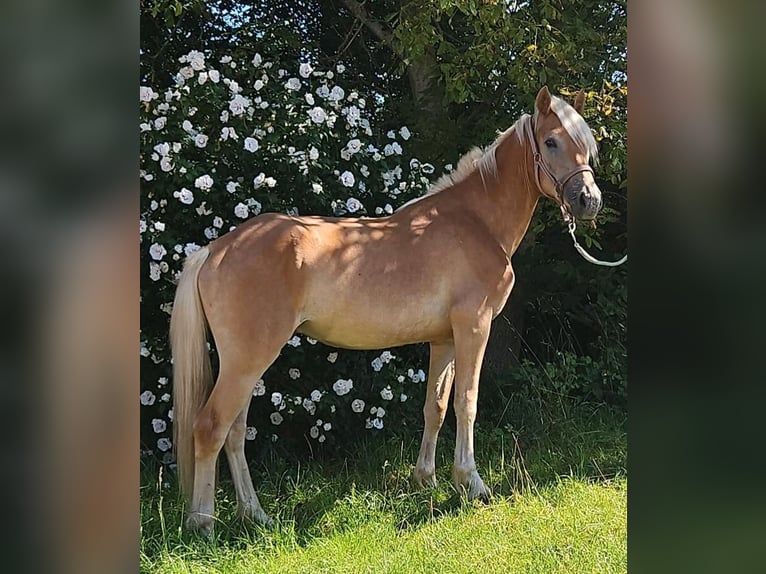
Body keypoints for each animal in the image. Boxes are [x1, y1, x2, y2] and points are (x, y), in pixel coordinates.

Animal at [172, 84, 608, 536]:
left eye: (586, 144)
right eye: (551, 141)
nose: (588, 201)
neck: (475, 222)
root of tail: (214, 250)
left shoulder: (444, 339)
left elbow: (436, 405)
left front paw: (427, 480)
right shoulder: (474, 327)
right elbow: (466, 402)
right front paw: (472, 483)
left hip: (245, 363)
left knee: (235, 432)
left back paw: (256, 515)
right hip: (247, 360)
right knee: (210, 428)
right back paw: (203, 524)